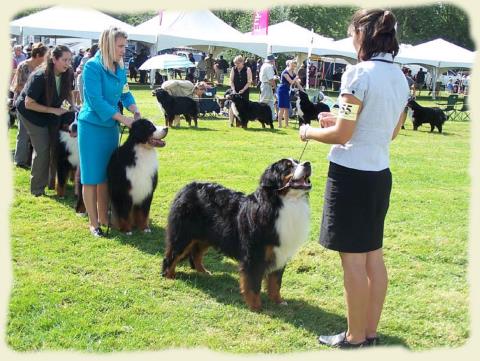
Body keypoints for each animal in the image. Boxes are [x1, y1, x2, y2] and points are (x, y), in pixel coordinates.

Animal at [161, 159, 312, 310]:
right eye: (288, 167)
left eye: (298, 162)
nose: (307, 164)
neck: (285, 203)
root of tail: (186, 188)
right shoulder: (254, 254)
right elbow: (253, 284)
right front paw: (255, 306)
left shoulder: (280, 252)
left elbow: (275, 282)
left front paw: (279, 301)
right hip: (183, 235)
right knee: (172, 255)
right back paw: (169, 275)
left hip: (206, 236)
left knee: (196, 253)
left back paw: (203, 271)